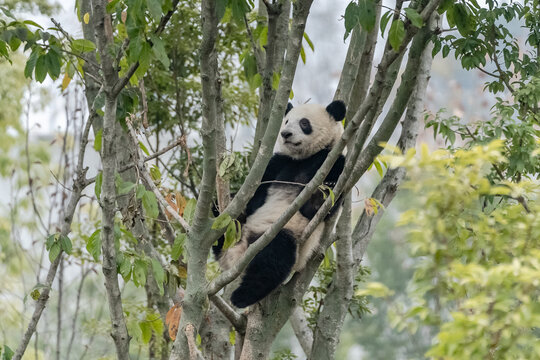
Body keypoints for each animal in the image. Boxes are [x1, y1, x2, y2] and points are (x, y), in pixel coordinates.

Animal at [212, 100, 344, 308]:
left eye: (304, 123)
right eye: (287, 121)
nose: (285, 134)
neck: (304, 158)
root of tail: (238, 256)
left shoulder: (334, 161)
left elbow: (319, 208)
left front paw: (322, 194)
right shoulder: (279, 162)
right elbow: (257, 193)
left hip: (283, 234)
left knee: (274, 259)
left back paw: (242, 297)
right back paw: (220, 211)